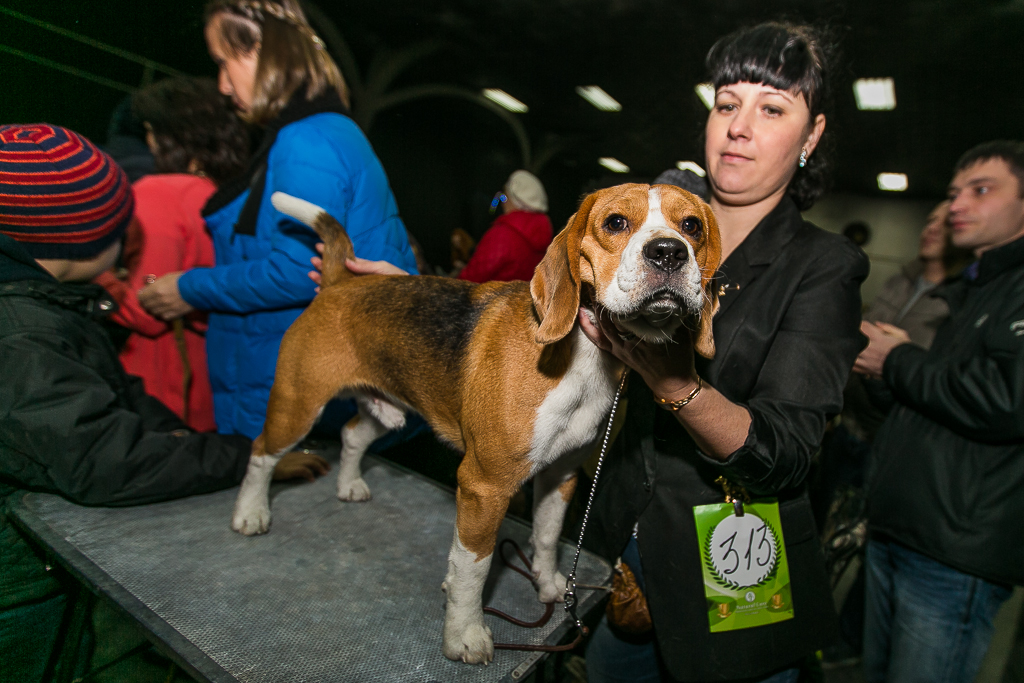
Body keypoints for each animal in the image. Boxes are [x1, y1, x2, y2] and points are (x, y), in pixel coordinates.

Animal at [230, 181, 729, 663]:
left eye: (692, 225)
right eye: (616, 222)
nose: (668, 252)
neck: (583, 358)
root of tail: (339, 284)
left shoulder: (561, 474)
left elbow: (546, 535)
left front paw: (548, 584)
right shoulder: (483, 488)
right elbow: (473, 569)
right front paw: (465, 636)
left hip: (387, 408)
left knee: (352, 435)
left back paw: (349, 485)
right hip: (297, 405)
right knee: (261, 452)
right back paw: (250, 512)